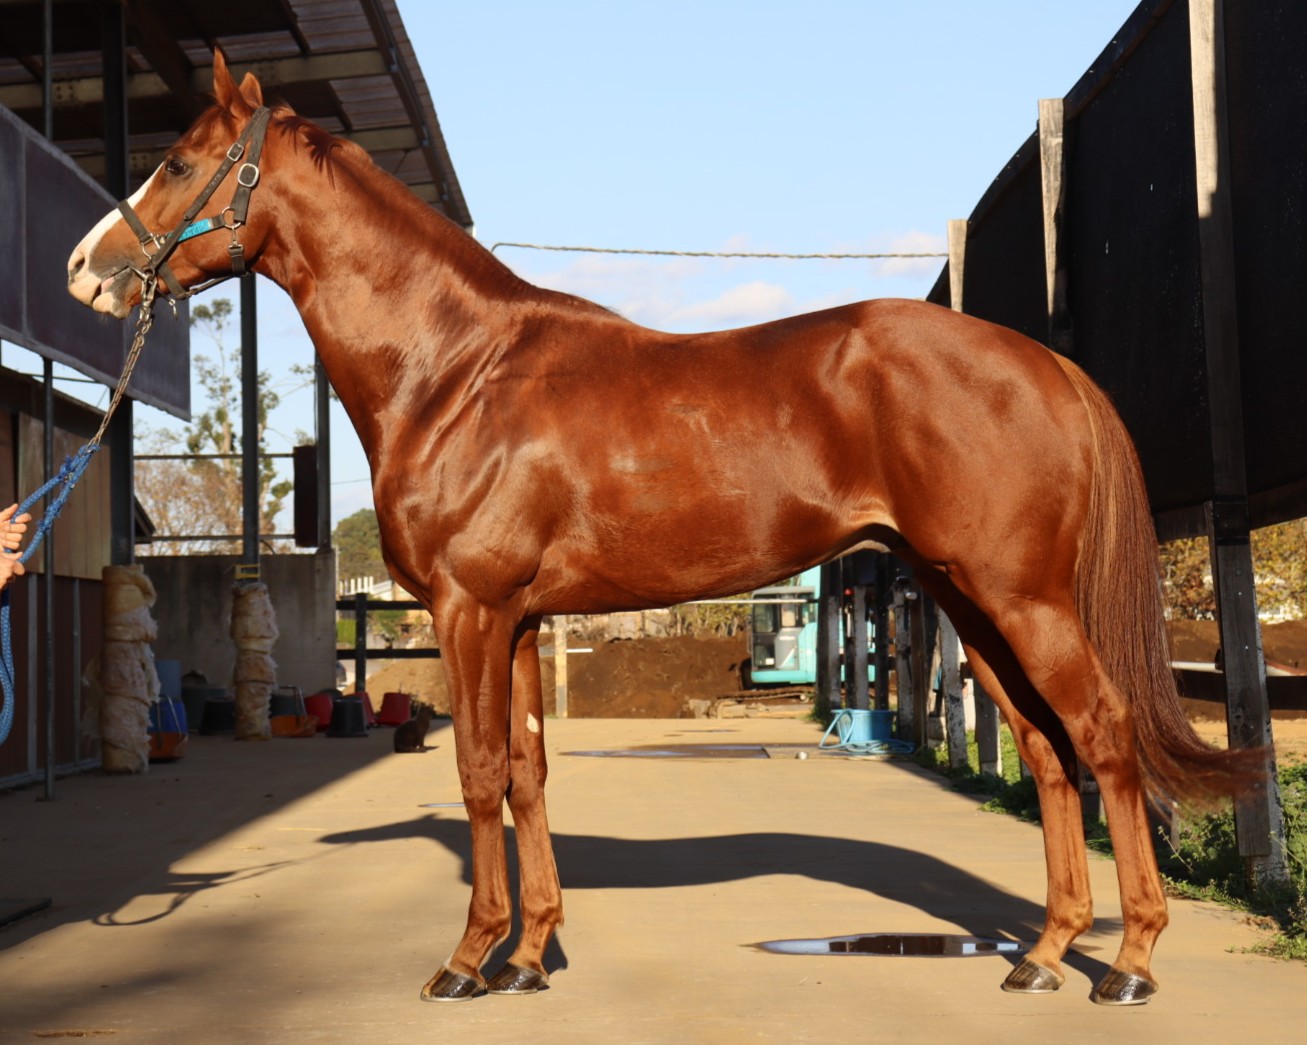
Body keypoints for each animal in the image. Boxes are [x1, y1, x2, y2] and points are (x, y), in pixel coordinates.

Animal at [67, 51, 1264, 1006]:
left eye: (180, 161)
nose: (85, 270)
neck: (457, 371)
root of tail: (1045, 364)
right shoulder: (513, 620)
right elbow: (527, 774)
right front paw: (530, 955)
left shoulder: (466, 611)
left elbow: (477, 772)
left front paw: (465, 961)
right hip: (973, 604)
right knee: (1046, 751)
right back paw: (1045, 953)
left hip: (1022, 600)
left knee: (1100, 736)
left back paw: (1129, 964)